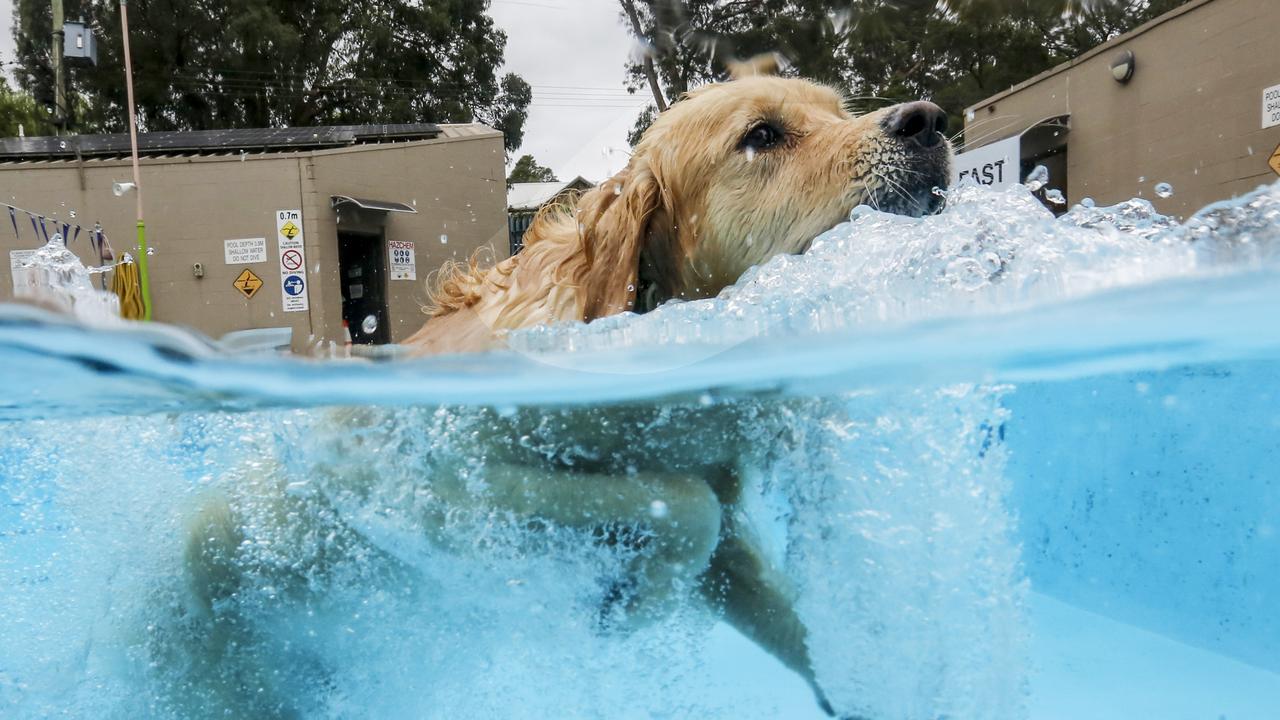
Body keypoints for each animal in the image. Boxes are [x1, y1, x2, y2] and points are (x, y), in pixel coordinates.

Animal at [183, 74, 952, 717]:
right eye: (762, 135)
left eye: (839, 111)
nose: (929, 120)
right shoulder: (419, 478)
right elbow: (683, 506)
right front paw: (635, 602)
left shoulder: (731, 541)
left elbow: (768, 597)